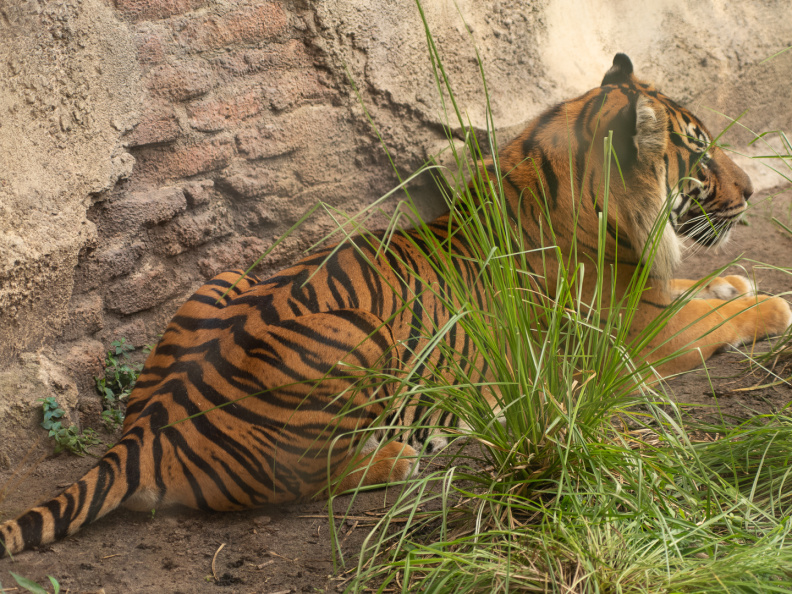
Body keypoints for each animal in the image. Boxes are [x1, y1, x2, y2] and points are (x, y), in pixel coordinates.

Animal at [2, 53, 790, 558]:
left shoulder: (650, 298)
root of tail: (146, 430)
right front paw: (774, 304)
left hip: (221, 279)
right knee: (294, 484)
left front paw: (737, 283)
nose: (753, 191)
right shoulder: (633, 341)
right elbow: (726, 317)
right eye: (701, 154)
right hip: (357, 336)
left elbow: (706, 293)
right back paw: (395, 459)